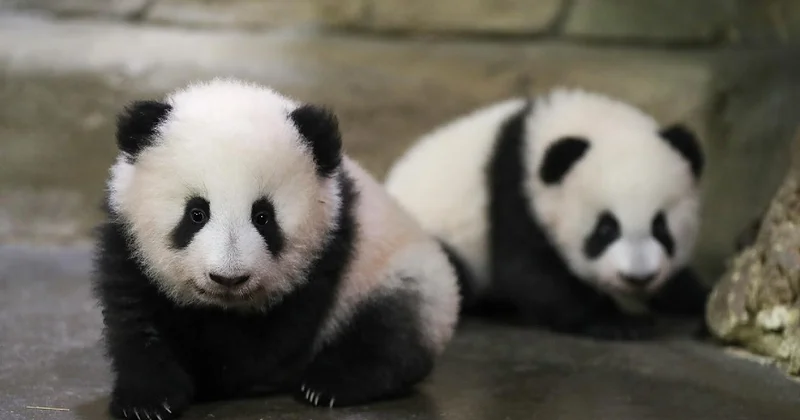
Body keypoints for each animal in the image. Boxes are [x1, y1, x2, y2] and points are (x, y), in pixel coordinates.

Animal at [92, 78, 460, 420]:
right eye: (196, 213)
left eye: (263, 216)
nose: (228, 278)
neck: (223, 307)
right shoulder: (127, 245)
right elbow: (134, 319)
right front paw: (148, 401)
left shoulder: (328, 252)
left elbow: (269, 342)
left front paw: (214, 376)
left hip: (396, 272)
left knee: (389, 330)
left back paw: (331, 383)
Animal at [384, 88, 709, 340]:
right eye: (605, 229)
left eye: (661, 227)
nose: (638, 277)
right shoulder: (514, 191)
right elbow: (530, 272)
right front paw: (621, 323)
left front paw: (696, 299)